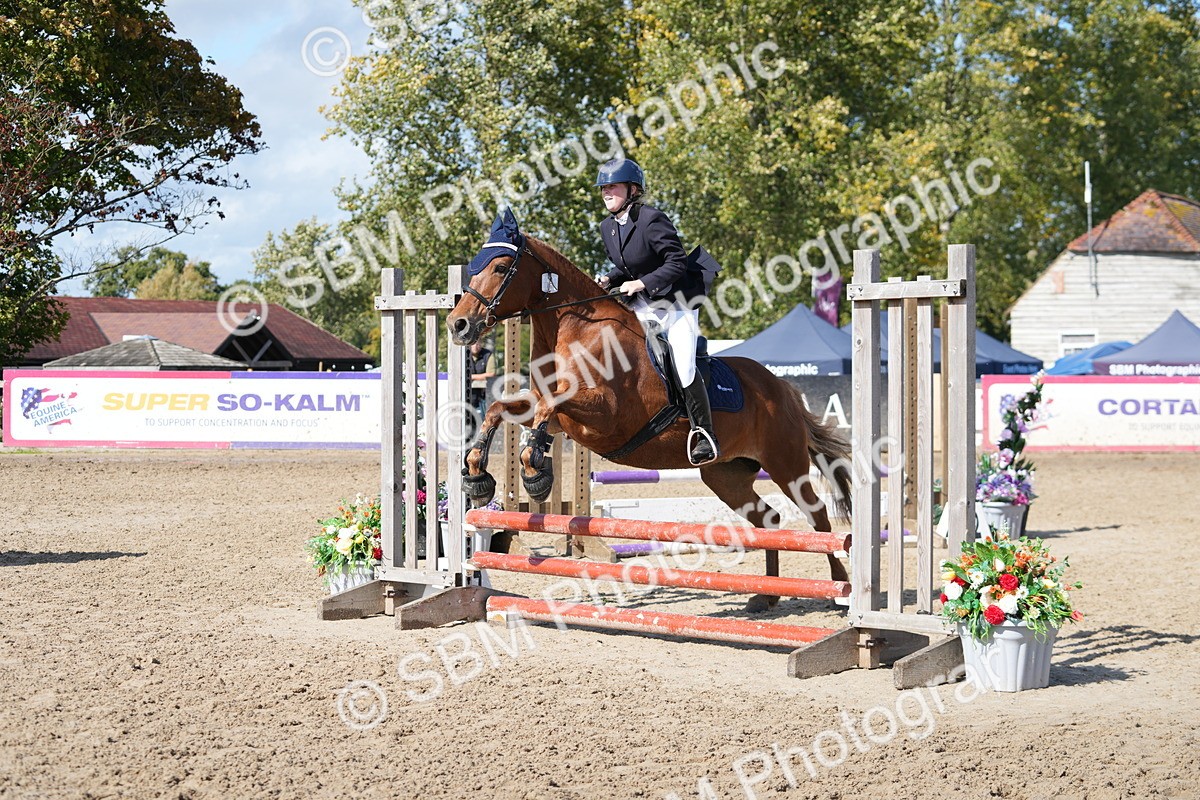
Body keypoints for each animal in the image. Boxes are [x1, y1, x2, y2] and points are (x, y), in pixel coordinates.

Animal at [447, 223, 853, 611]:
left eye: (501, 268)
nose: (457, 324)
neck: (579, 330)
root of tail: (782, 388)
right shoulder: (558, 416)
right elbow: (501, 409)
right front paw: (477, 474)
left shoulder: (605, 417)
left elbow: (550, 408)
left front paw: (535, 473)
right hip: (727, 476)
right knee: (768, 521)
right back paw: (767, 595)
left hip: (786, 464)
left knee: (818, 519)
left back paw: (840, 592)